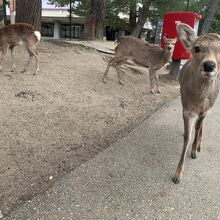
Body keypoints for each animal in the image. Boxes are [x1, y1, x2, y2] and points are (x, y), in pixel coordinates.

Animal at [173, 22, 220, 184]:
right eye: (197, 48)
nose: (209, 65)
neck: (198, 100)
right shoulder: (186, 109)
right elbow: (187, 136)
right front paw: (177, 175)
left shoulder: (205, 110)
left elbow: (198, 128)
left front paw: (194, 151)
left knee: (201, 126)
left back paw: (199, 145)